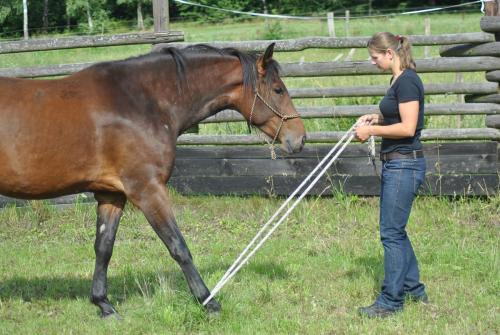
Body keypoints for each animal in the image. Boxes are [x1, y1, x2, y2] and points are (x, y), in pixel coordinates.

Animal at [0, 43, 304, 318]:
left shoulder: (111, 194)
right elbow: (178, 246)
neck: (140, 102)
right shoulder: (147, 190)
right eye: (278, 89)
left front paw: (103, 304)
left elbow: (104, 247)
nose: (299, 137)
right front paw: (208, 302)